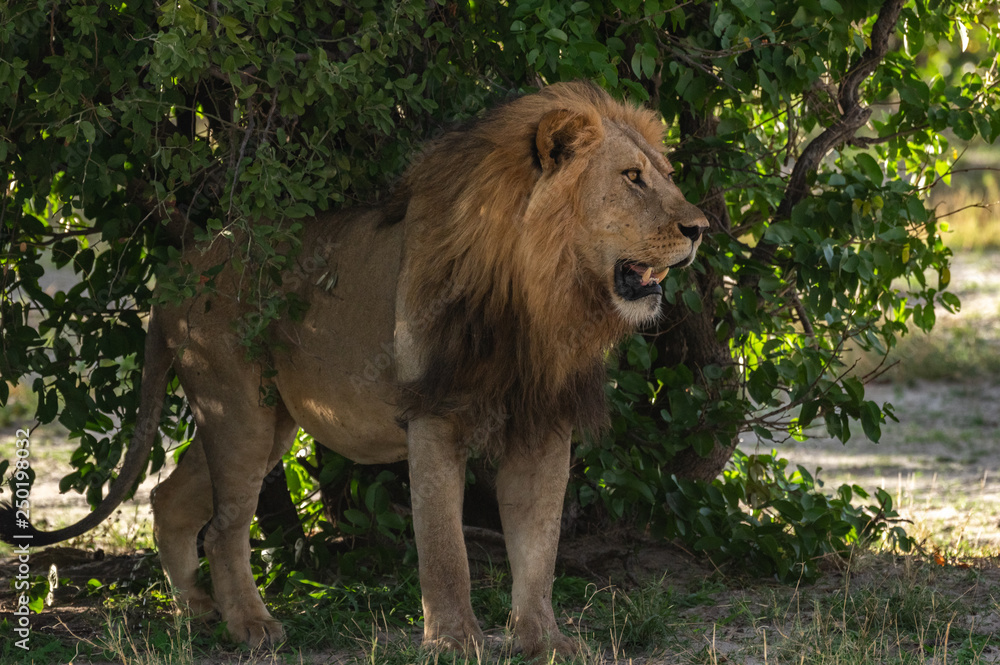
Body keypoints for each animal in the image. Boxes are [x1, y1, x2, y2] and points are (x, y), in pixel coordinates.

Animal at [1, 82, 708, 658]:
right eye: (632, 177)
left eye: (665, 174)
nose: (700, 228)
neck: (540, 296)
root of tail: (184, 266)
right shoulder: (433, 415)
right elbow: (445, 548)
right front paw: (455, 642)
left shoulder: (543, 422)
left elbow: (539, 546)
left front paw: (546, 642)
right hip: (238, 408)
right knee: (226, 526)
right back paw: (250, 626)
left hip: (267, 421)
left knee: (171, 498)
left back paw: (199, 613)